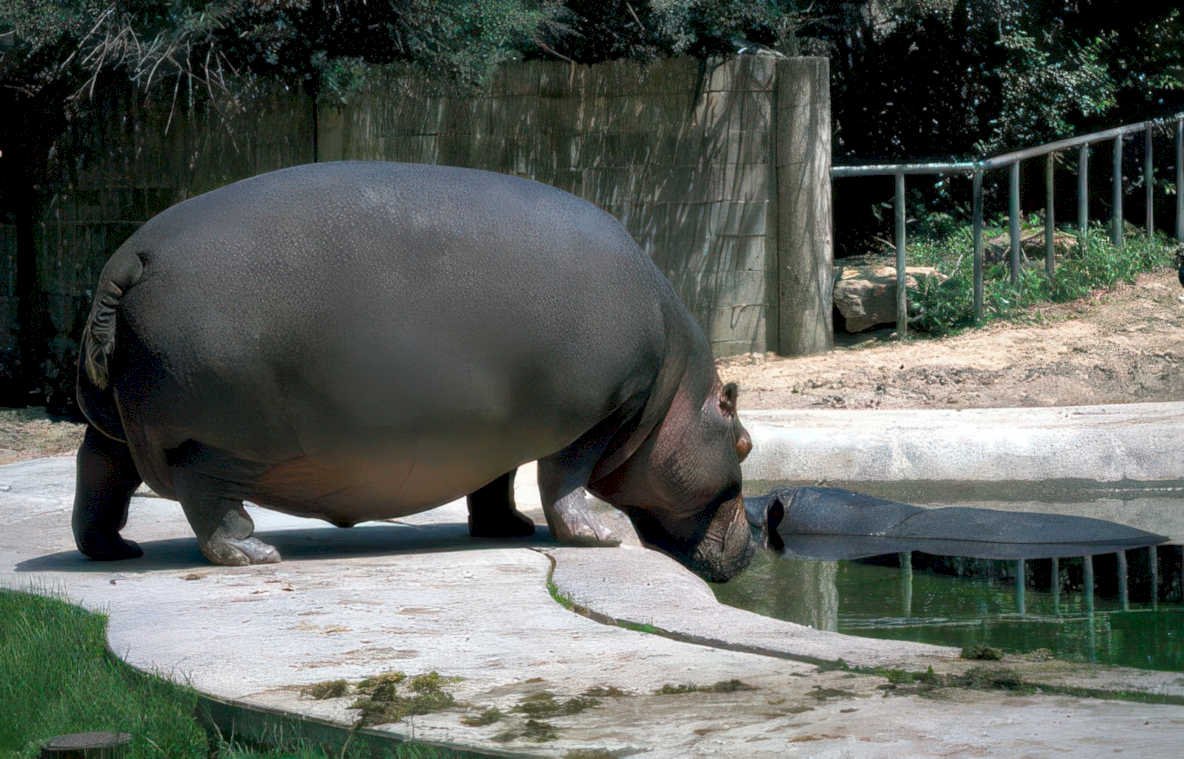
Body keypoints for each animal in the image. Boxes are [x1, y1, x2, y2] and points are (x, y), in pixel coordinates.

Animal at [72, 161, 755, 581]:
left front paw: (507, 529)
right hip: (224, 440)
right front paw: (603, 535)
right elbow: (564, 477)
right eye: (745, 444)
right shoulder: (605, 411)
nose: (755, 550)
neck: (675, 392)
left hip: (115, 422)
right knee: (206, 496)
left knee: (100, 470)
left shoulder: (500, 425)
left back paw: (111, 550)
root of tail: (132, 255)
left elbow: (497, 481)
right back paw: (256, 554)